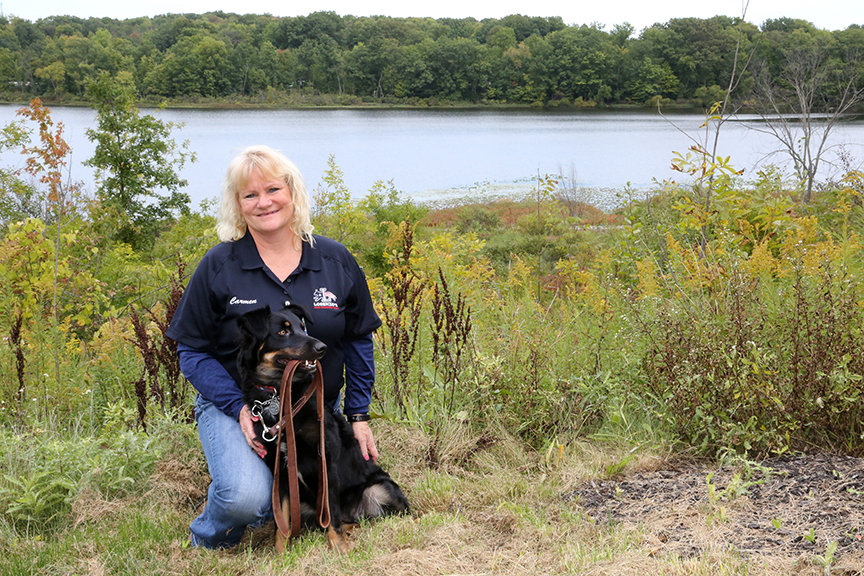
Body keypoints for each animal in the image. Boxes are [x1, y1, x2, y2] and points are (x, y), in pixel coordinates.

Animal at [235, 304, 410, 552]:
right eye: (283, 332)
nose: (321, 348)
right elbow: (282, 522)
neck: (282, 394)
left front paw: (338, 549)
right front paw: (280, 554)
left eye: (302, 327)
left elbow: (332, 513)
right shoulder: (280, 473)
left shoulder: (325, 460)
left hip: (380, 488)